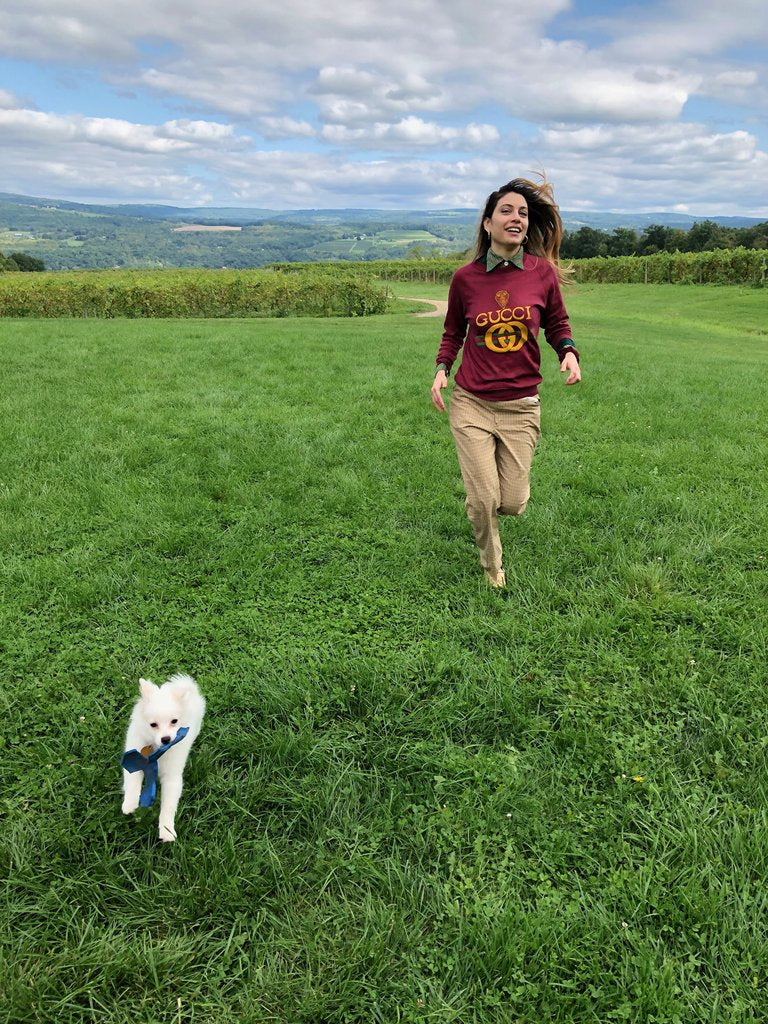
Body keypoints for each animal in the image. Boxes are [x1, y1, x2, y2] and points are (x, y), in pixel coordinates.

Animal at [120, 671, 205, 839]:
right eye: (153, 725)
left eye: (174, 721)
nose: (166, 739)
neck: (157, 750)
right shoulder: (134, 759)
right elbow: (132, 782)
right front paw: (130, 803)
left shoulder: (172, 777)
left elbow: (168, 805)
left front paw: (167, 830)